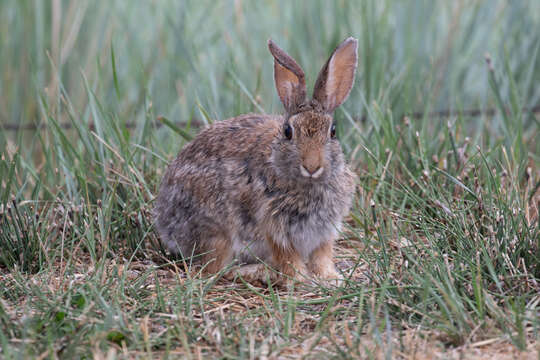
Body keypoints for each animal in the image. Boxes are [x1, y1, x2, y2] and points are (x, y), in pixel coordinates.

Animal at [155, 37, 358, 284]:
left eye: (333, 132)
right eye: (288, 132)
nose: (312, 166)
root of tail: (164, 222)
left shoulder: (324, 232)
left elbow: (322, 256)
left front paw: (330, 278)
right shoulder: (275, 228)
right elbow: (288, 257)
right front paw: (299, 279)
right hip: (217, 230)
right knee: (215, 269)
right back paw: (261, 272)